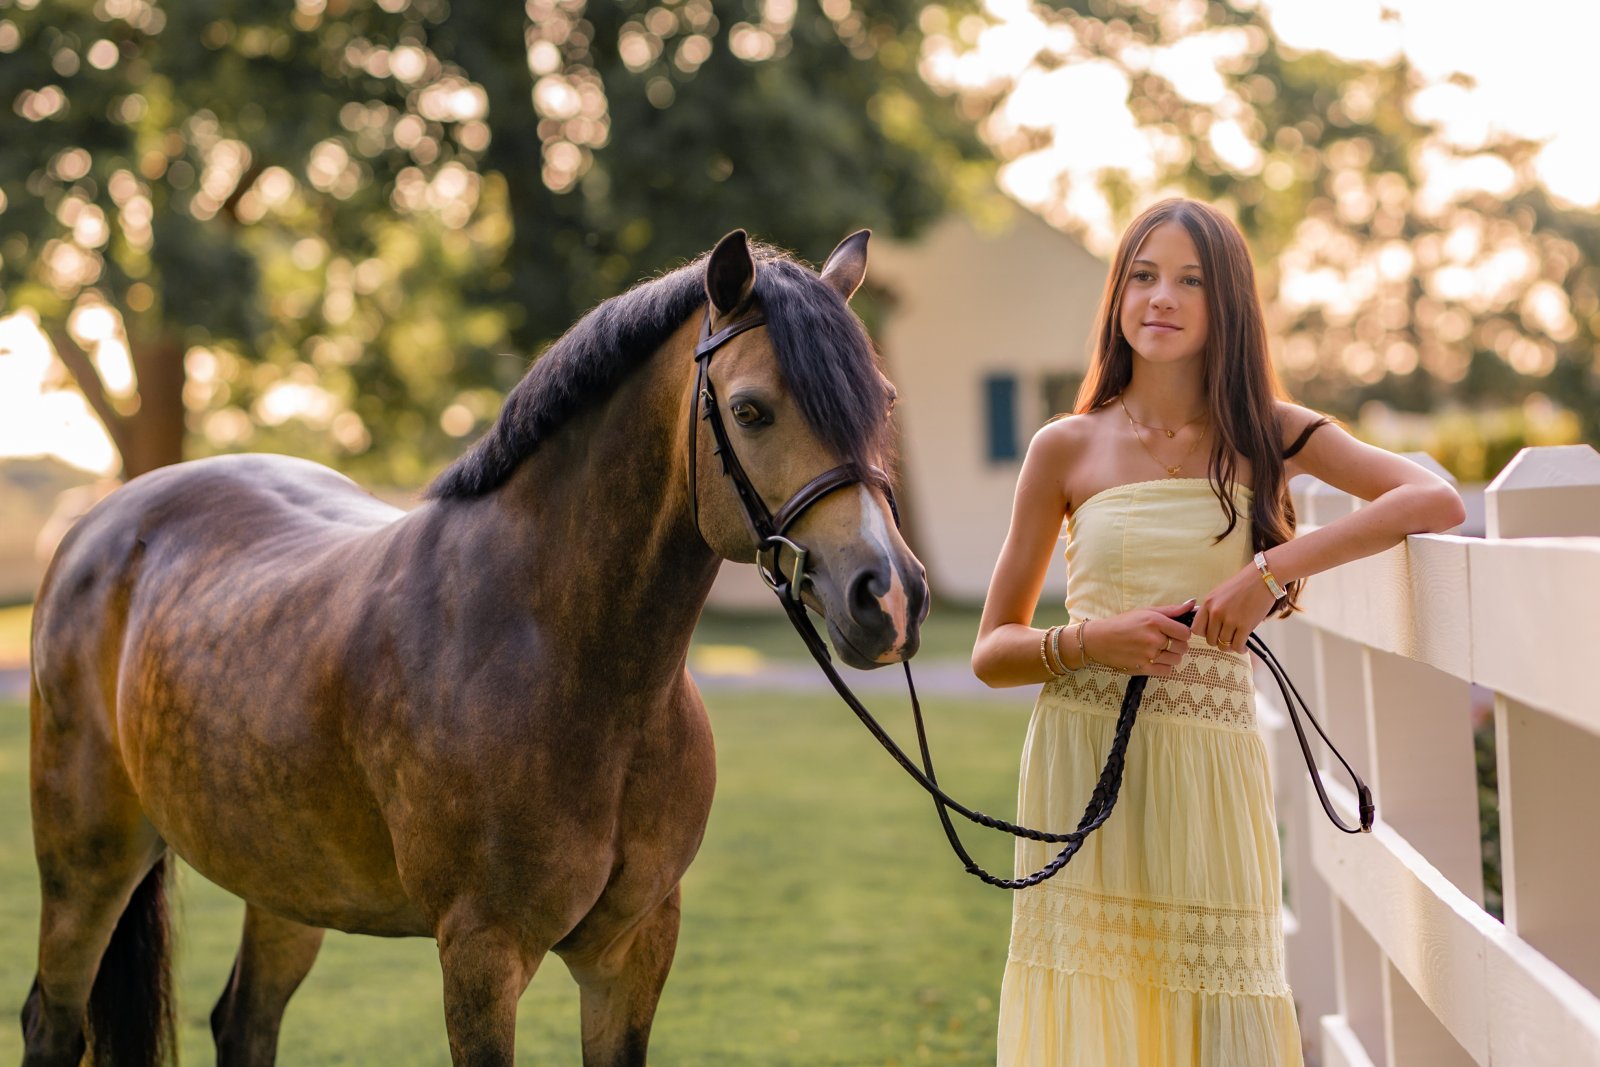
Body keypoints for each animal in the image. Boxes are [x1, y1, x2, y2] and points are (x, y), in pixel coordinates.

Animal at [23, 229, 929, 1067]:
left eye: (883, 401)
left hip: (282, 879)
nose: (887, 595)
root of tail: (103, 523)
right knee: (52, 1019)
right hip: (87, 864)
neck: (567, 660)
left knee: (243, 1022)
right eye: (749, 410)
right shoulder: (482, 952)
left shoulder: (632, 948)